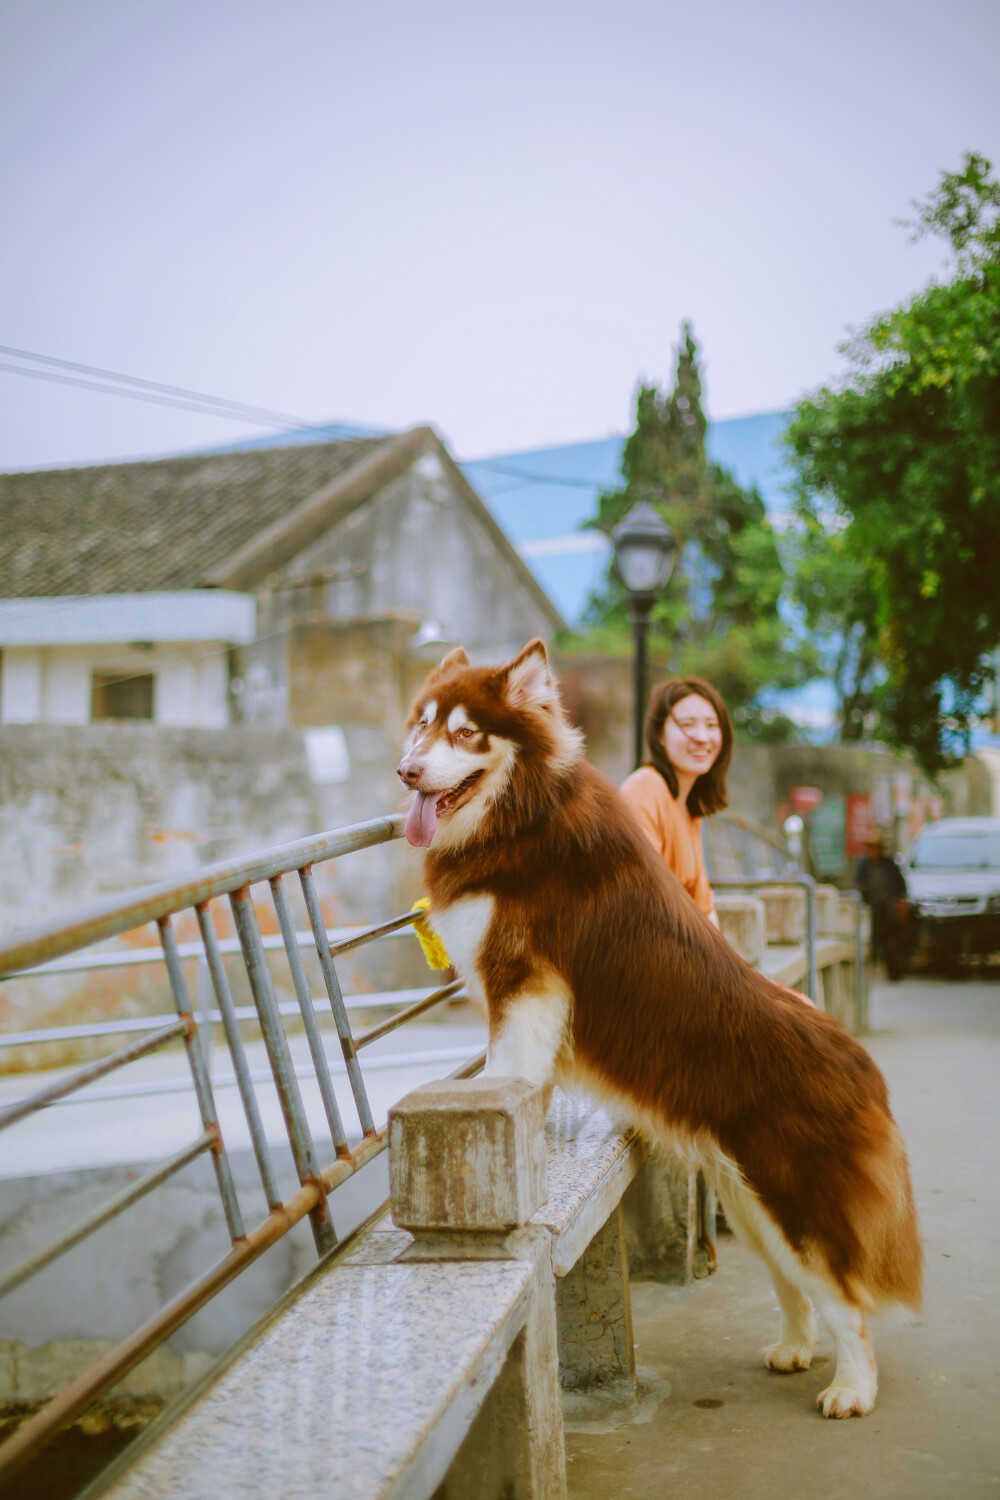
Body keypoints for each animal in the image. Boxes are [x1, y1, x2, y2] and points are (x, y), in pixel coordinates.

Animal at [395, 642, 923, 1416]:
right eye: (421, 724)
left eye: (466, 733)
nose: (406, 770)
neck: (523, 811)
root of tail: (865, 1067)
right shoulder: (523, 994)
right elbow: (524, 1078)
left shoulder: (526, 983)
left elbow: (508, 1071)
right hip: (749, 1198)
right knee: (795, 1285)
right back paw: (795, 1348)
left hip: (796, 1198)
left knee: (844, 1299)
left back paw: (852, 1389)